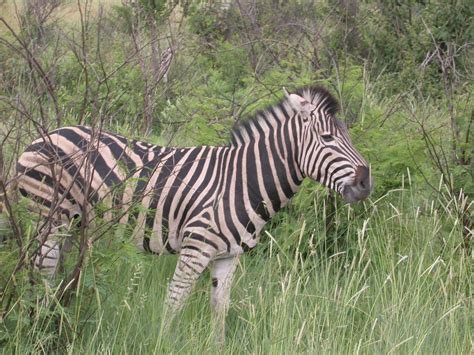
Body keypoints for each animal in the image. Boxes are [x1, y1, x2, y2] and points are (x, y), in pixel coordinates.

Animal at [14, 86, 372, 342]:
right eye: (327, 138)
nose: (366, 182)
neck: (241, 181)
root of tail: (42, 135)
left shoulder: (229, 255)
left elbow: (219, 307)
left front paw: (219, 347)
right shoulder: (195, 246)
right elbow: (175, 300)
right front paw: (163, 343)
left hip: (71, 226)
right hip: (47, 219)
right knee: (41, 277)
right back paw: (38, 330)